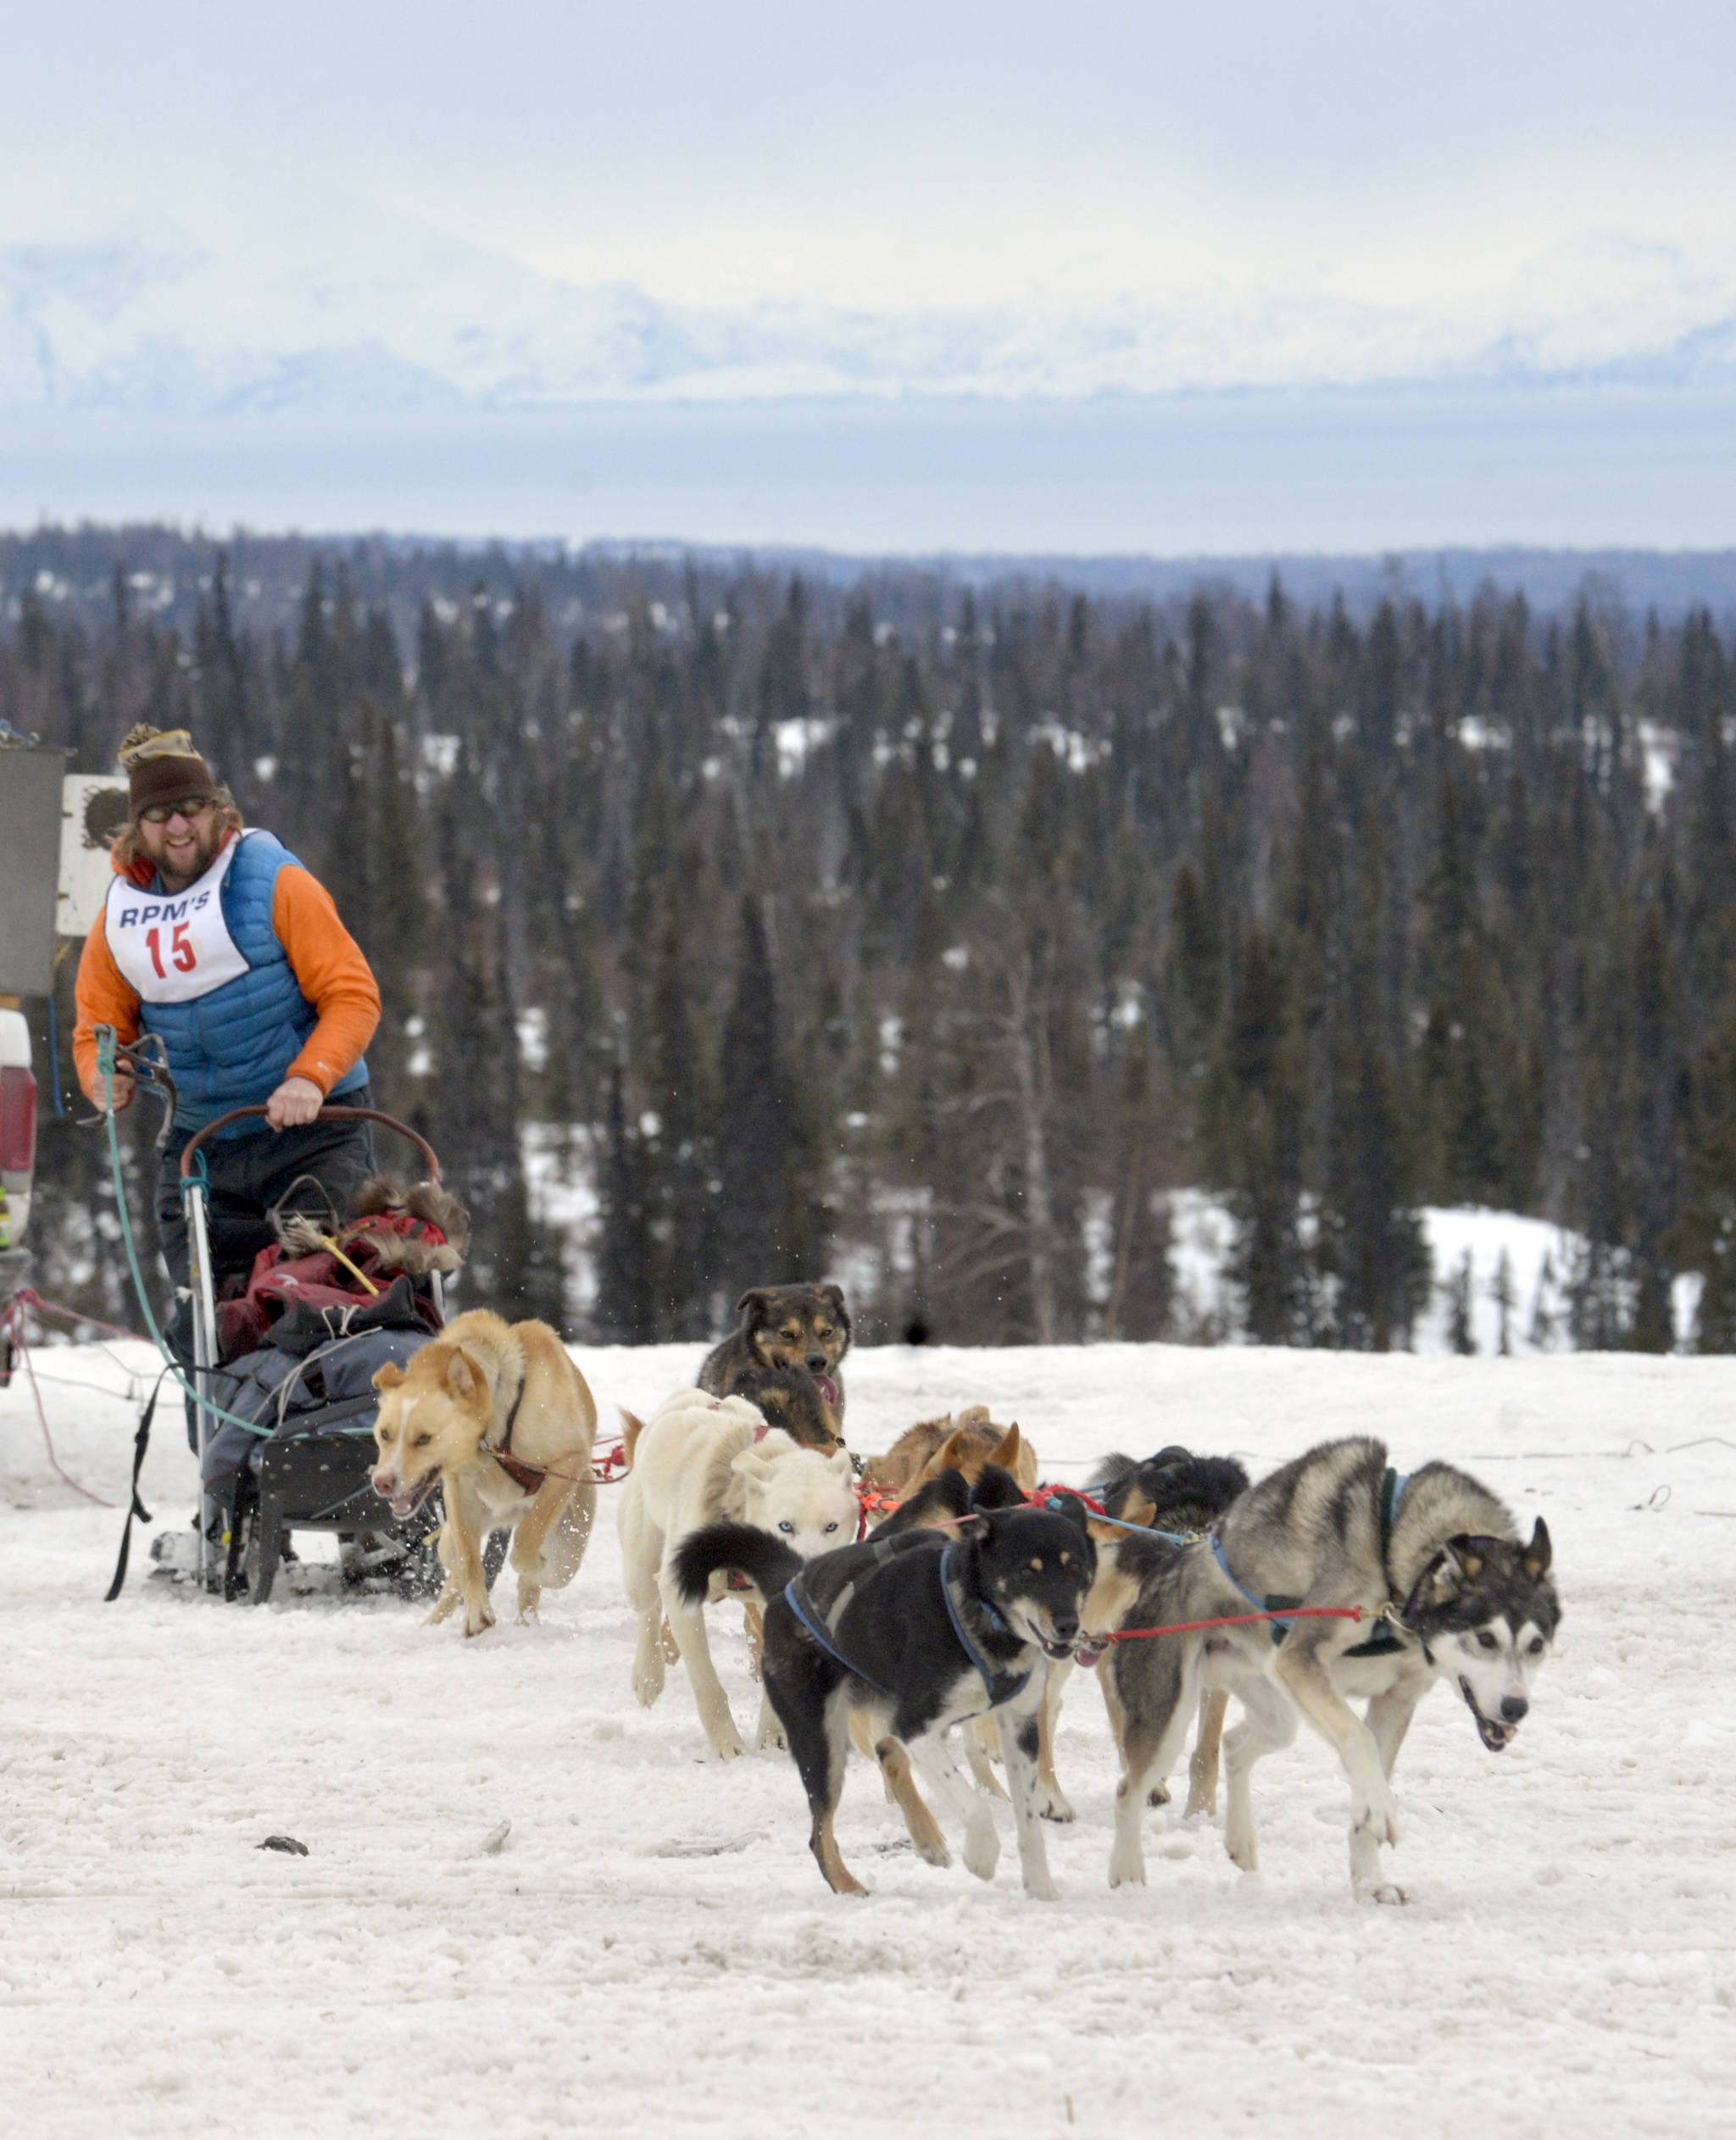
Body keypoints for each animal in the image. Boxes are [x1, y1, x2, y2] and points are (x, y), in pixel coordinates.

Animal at [372, 1301, 599, 1635]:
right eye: (385, 1434)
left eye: (424, 1438)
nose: (382, 1482)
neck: (493, 1432)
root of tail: (507, 1516)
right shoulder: (459, 1488)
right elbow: (470, 1564)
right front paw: (478, 1612)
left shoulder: (567, 1463)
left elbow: (525, 1546)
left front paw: (533, 1567)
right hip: (458, 1534)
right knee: (456, 1567)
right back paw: (434, 1623)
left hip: (569, 1542)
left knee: (543, 1572)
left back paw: (528, 1619)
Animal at [620, 1387, 860, 1754]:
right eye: (785, 1526)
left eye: (831, 1527)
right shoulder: (681, 1596)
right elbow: (708, 1685)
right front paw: (728, 1747)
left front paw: (774, 1733)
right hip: (640, 1568)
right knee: (648, 1606)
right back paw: (648, 1676)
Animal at [671, 1481, 1091, 1900]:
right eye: (1026, 1571)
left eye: (1076, 1569)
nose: (1068, 1625)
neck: (980, 1614)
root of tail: (791, 1583)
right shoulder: (917, 1724)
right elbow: (973, 1805)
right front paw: (983, 1856)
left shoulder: (1020, 1727)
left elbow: (1028, 1820)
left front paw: (1042, 1891)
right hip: (821, 1741)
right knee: (820, 1832)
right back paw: (848, 1885)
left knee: (888, 1756)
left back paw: (927, 1840)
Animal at [1104, 1437, 1566, 1909]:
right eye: (1486, 1638)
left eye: (1537, 1645)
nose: (1516, 1707)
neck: (1392, 1561)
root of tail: (1173, 1554)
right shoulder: (1300, 1661)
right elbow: (1358, 1740)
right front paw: (1380, 1810)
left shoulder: (1396, 1699)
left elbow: (1370, 1773)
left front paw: (1370, 1881)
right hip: (1172, 1717)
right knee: (1129, 1789)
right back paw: (1127, 1873)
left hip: (1278, 1712)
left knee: (1233, 1747)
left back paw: (1242, 1839)